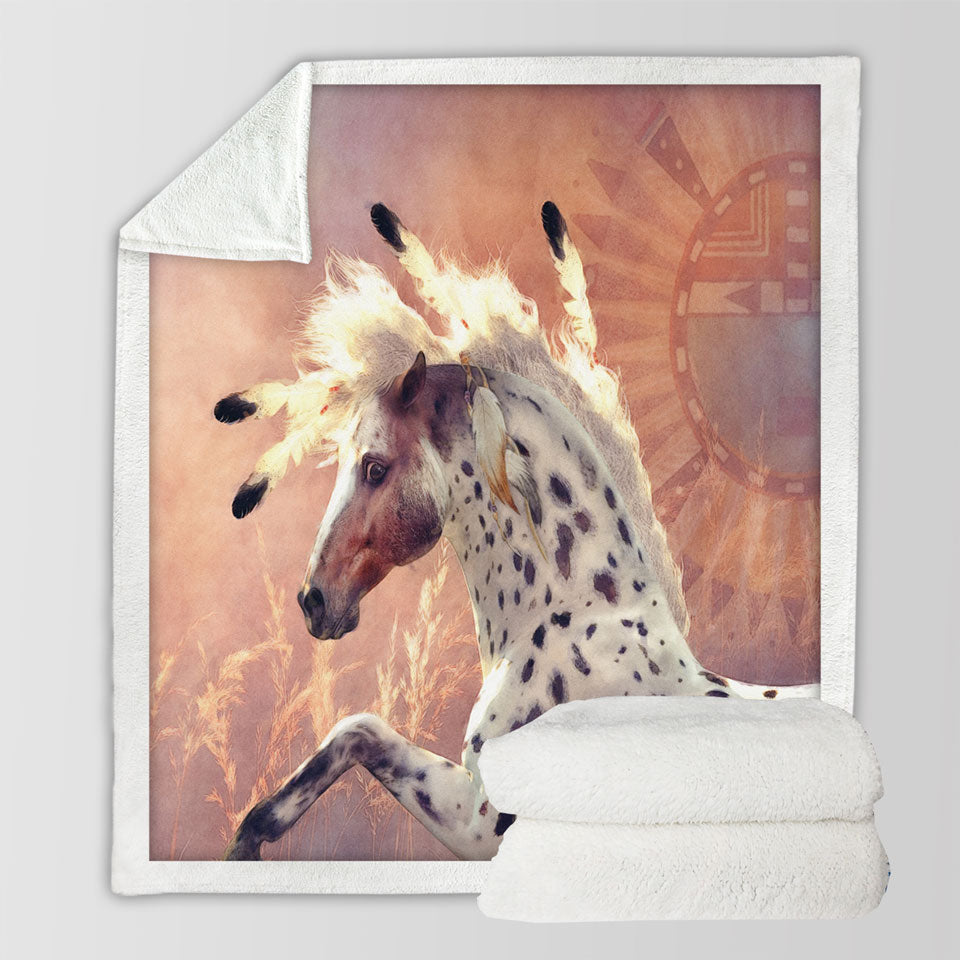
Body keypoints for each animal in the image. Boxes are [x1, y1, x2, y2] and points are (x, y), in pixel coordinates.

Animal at [214, 202, 819, 861]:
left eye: (374, 467)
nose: (313, 600)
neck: (576, 620)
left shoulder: (484, 821)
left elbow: (359, 730)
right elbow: (359, 728)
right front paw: (247, 839)